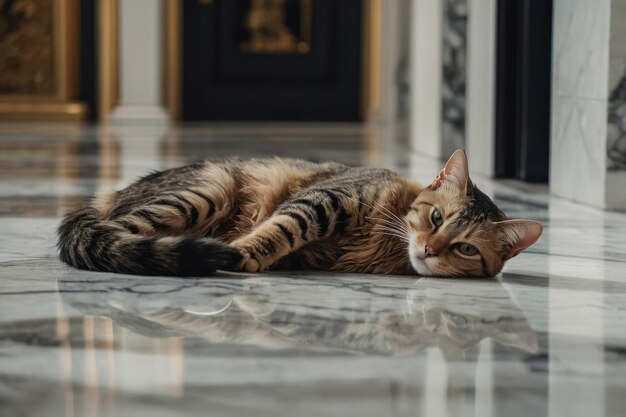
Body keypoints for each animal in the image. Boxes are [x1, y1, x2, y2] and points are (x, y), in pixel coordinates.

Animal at [58, 150, 540, 276]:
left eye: (466, 249)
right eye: (437, 219)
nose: (429, 249)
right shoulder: (324, 200)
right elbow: (281, 228)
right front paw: (243, 253)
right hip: (206, 190)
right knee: (114, 233)